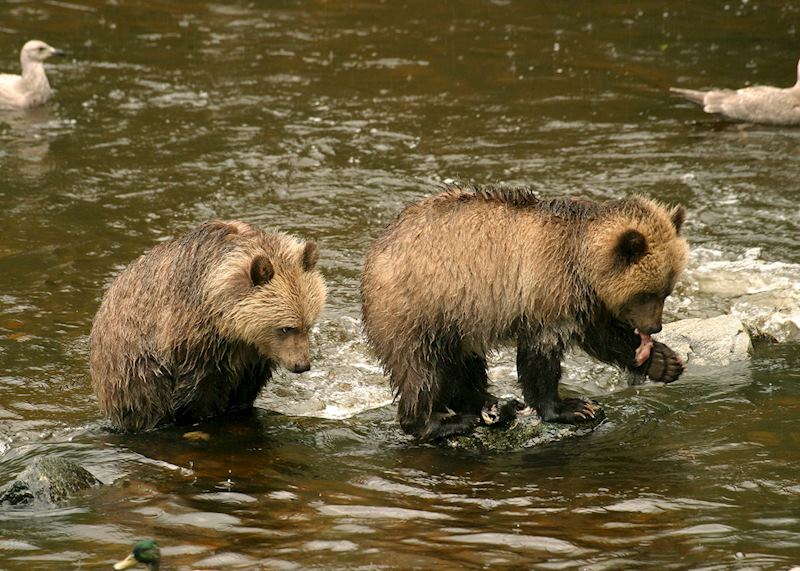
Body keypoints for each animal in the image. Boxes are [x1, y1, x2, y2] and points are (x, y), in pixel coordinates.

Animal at [89, 220, 327, 432]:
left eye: (308, 325)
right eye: (286, 328)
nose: (302, 365)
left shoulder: (252, 356)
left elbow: (244, 390)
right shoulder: (196, 342)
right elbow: (199, 392)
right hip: (134, 365)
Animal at [360, 185, 688, 441]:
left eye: (666, 290)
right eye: (646, 294)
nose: (655, 327)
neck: (581, 262)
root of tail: (376, 248)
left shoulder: (584, 302)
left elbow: (603, 337)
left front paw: (664, 362)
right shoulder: (547, 290)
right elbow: (541, 354)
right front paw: (572, 408)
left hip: (459, 318)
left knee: (464, 363)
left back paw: (491, 404)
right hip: (420, 306)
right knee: (421, 369)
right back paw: (440, 422)